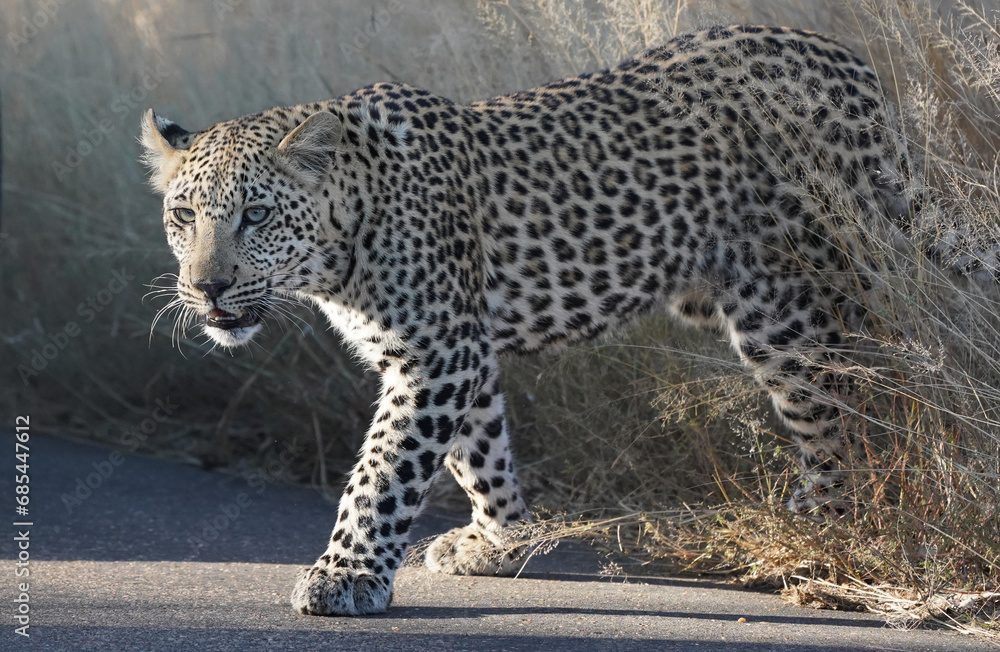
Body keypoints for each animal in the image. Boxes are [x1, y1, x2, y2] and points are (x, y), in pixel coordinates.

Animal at [140, 24, 999, 617]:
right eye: (184, 216)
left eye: (255, 215)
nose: (206, 290)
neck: (343, 241)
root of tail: (847, 64)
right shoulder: (457, 354)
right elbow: (478, 453)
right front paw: (501, 542)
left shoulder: (436, 353)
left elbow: (384, 471)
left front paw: (345, 575)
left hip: (792, 305)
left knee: (857, 404)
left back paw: (823, 533)